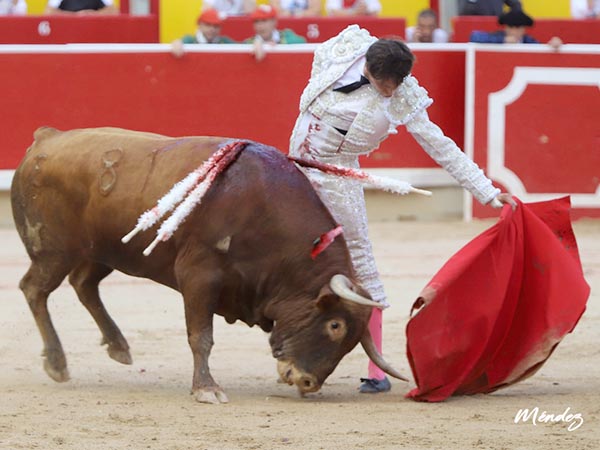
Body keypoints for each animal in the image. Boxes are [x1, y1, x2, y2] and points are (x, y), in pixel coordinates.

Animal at [9, 126, 406, 404]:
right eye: (335, 325)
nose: (307, 381)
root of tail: (46, 139)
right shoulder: (199, 276)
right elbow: (201, 336)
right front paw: (206, 389)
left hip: (107, 251)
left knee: (84, 284)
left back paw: (118, 346)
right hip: (54, 251)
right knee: (34, 289)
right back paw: (57, 363)